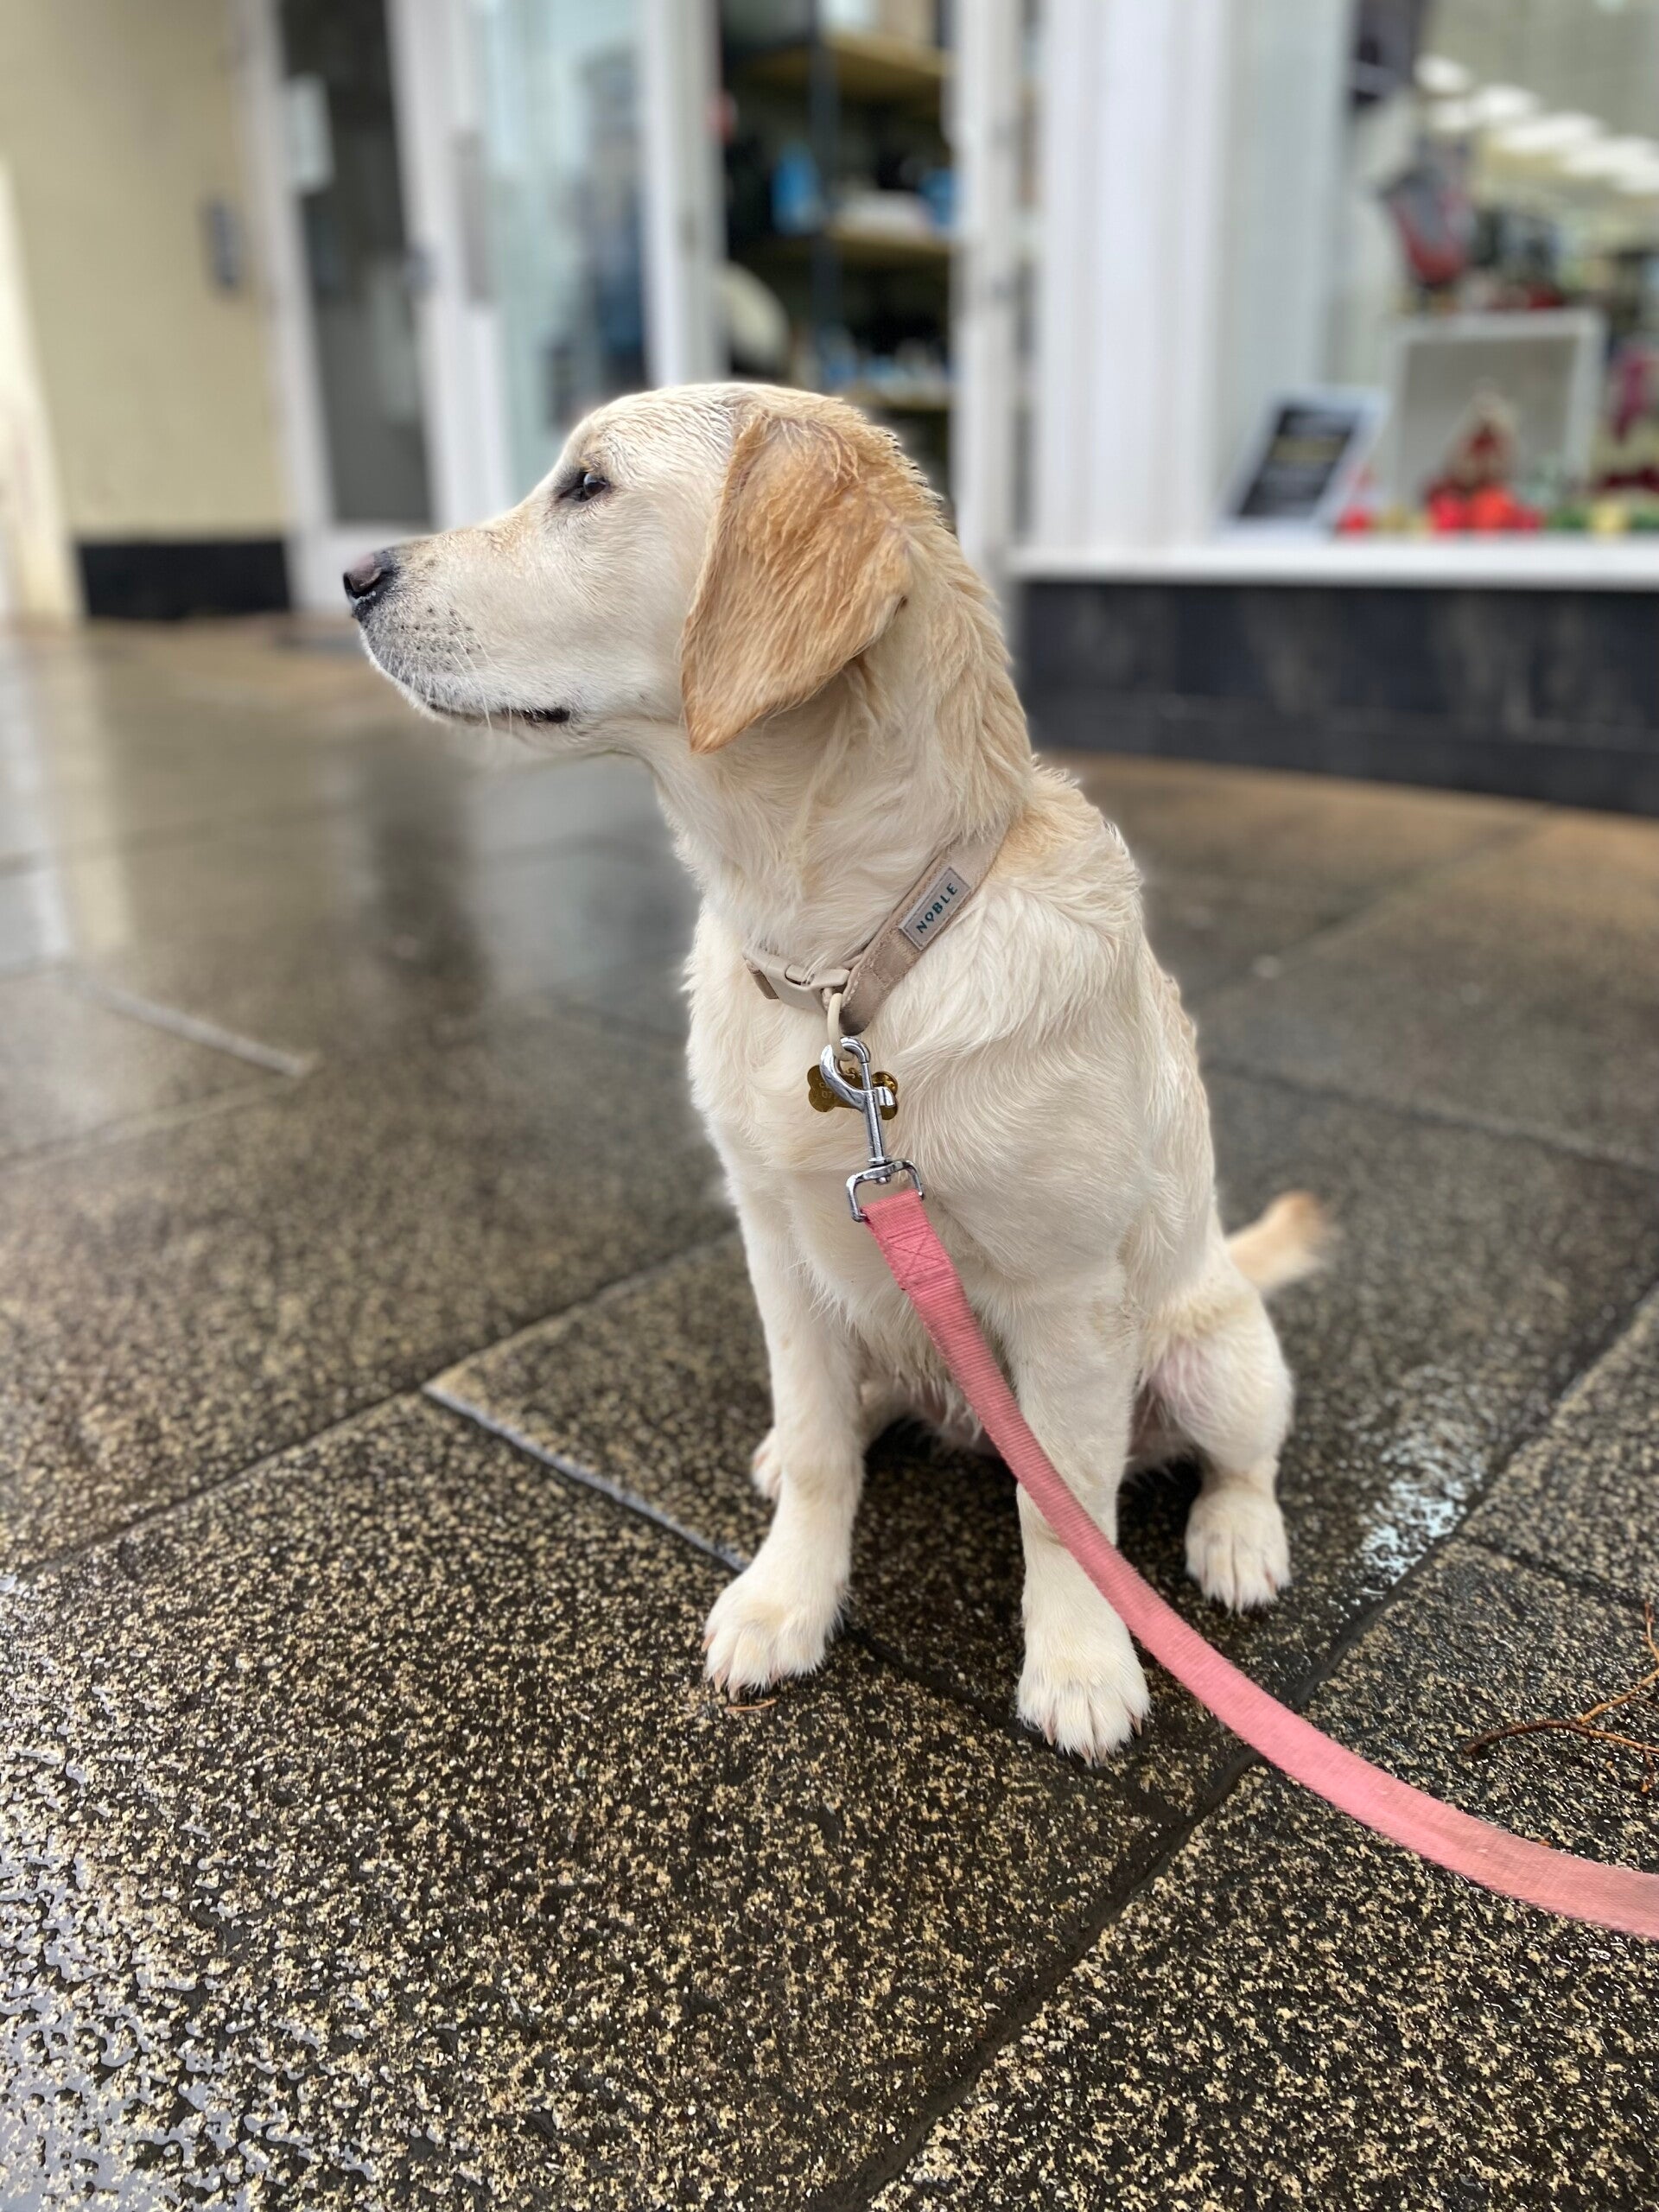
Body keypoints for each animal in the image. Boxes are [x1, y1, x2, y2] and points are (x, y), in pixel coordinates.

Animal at [349, 383, 1326, 1762]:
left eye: (586, 485)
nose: (351, 574)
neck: (845, 973)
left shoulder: (1070, 1299)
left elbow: (1065, 1506)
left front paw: (1083, 1661)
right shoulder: (778, 1244)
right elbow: (821, 1456)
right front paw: (786, 1598)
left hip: (1214, 1352)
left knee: (1244, 1454)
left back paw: (1238, 1538)